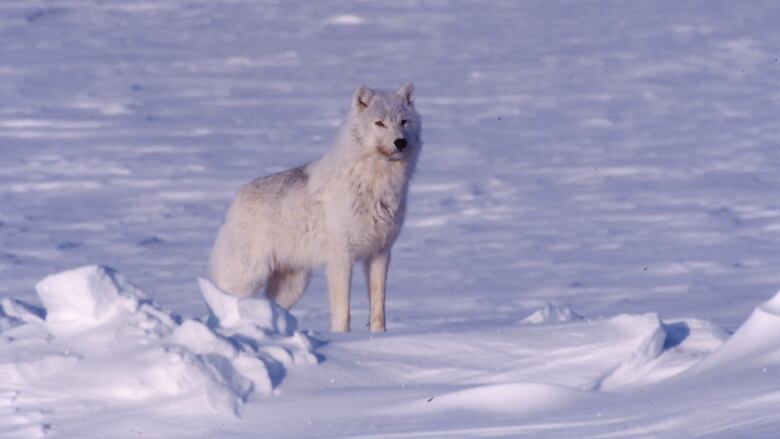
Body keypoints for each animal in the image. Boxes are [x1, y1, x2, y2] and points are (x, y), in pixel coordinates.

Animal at [209, 84, 420, 334]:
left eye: (404, 122)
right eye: (380, 123)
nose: (400, 142)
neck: (375, 185)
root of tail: (234, 201)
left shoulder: (380, 254)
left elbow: (378, 309)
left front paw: (379, 337)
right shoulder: (341, 257)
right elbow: (342, 311)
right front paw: (341, 337)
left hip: (292, 287)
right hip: (245, 279)